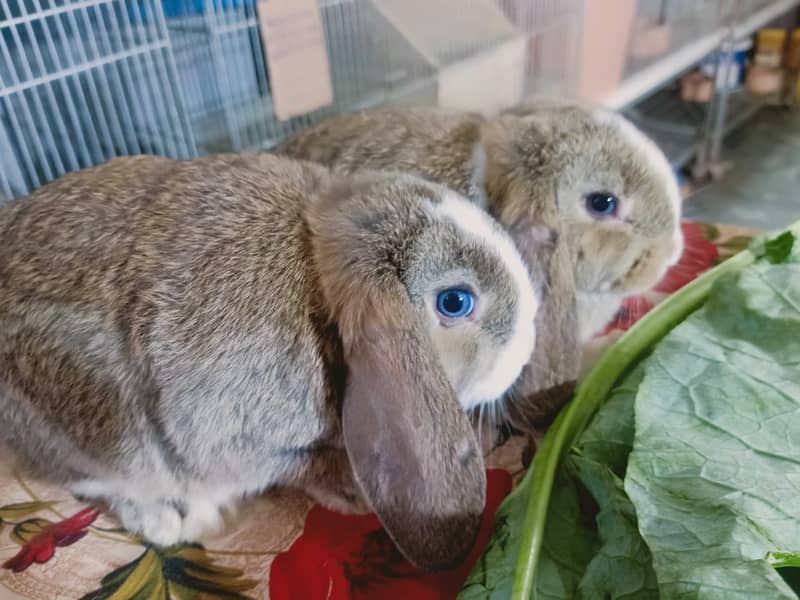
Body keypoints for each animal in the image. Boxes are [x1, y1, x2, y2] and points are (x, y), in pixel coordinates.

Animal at [1, 152, 536, 568]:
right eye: (455, 302)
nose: (533, 327)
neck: (318, 283)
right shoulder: (254, 442)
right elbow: (300, 467)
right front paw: (354, 497)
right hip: (100, 427)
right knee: (96, 481)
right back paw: (174, 518)